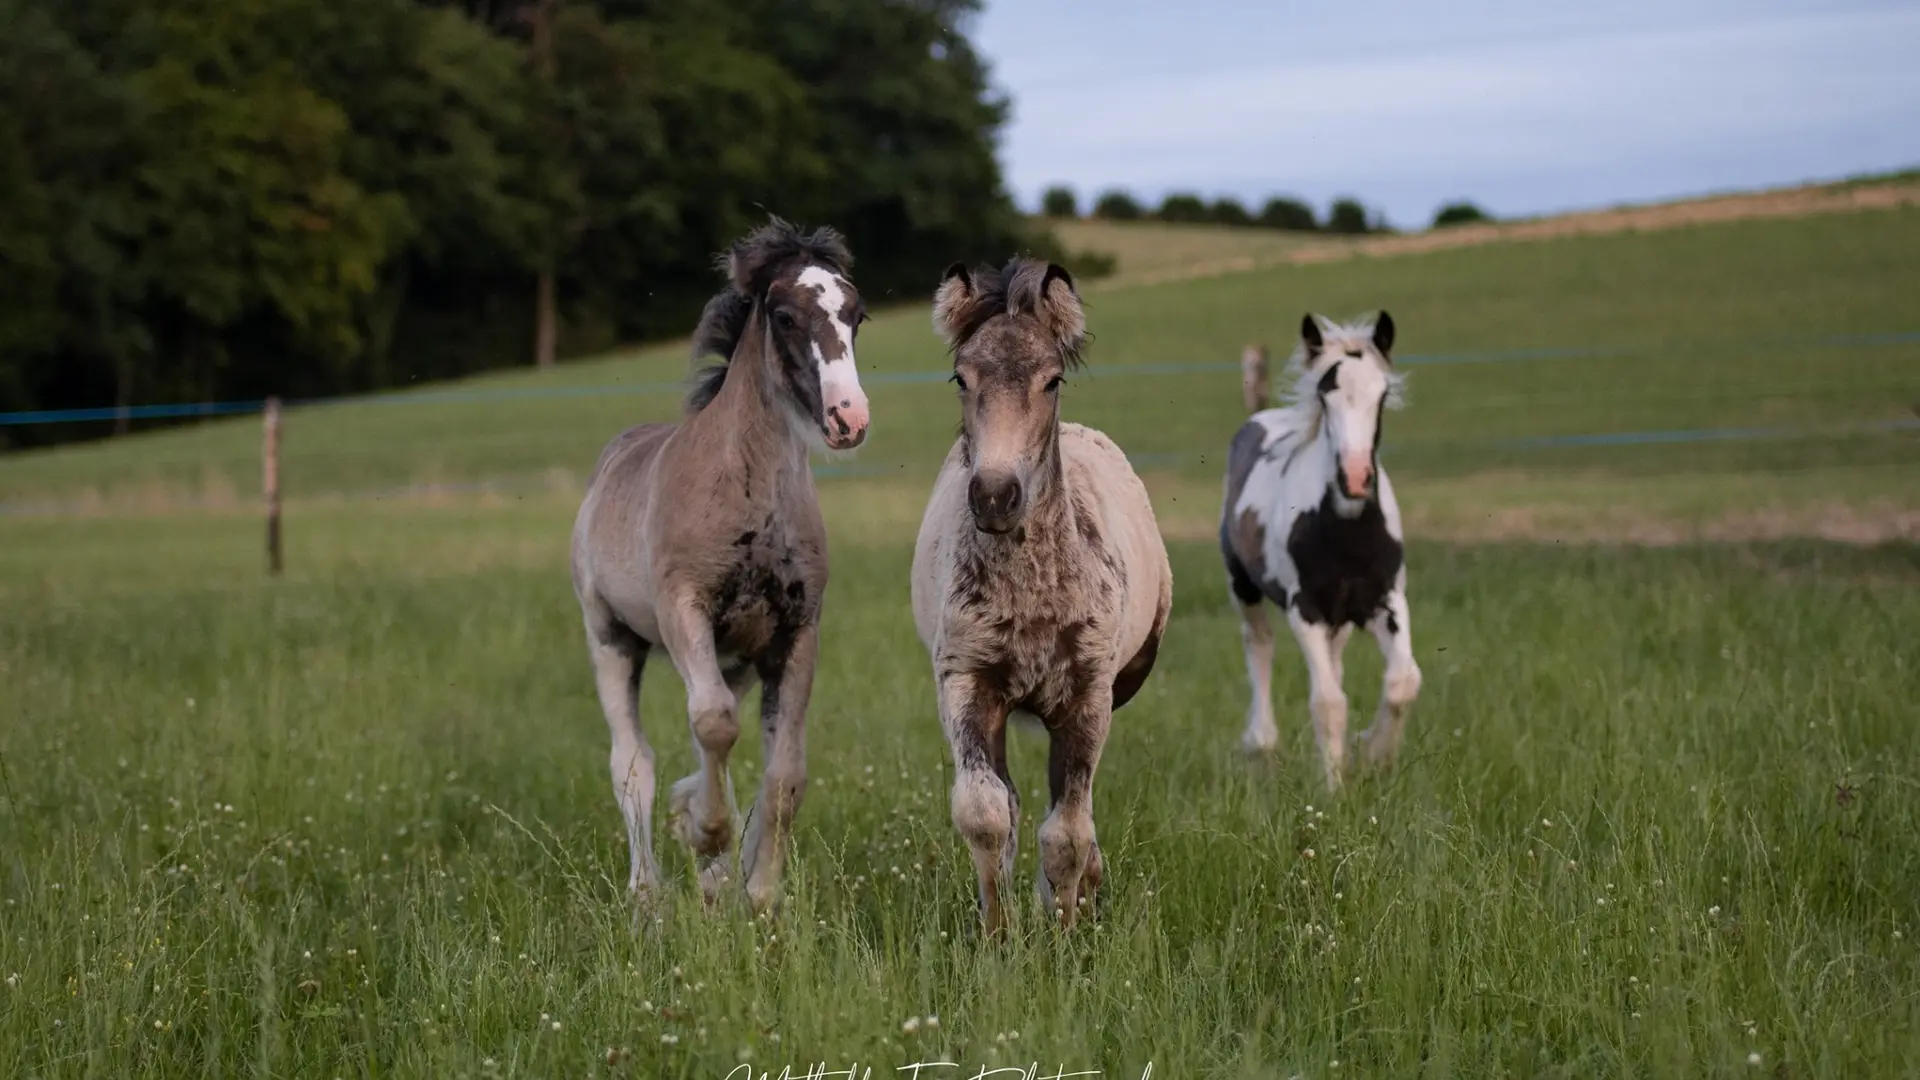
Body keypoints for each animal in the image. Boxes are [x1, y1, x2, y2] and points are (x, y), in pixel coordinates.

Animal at [570, 218, 871, 912]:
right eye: (784, 316)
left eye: (856, 314)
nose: (849, 418)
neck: (746, 490)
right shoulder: (685, 609)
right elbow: (711, 726)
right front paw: (705, 834)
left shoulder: (795, 633)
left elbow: (783, 775)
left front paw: (757, 891)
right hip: (611, 638)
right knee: (633, 761)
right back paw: (648, 893)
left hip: (732, 661)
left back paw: (715, 883)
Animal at [910, 258, 1172, 933]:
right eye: (961, 376)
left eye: (1052, 380)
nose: (995, 496)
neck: (1031, 596)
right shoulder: (967, 682)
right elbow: (986, 813)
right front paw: (997, 935)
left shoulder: (1087, 697)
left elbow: (1068, 833)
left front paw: (1066, 930)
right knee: (1009, 799)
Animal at [1217, 312, 1422, 792]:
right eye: (1326, 395)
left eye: (1382, 394)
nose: (1355, 477)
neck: (1346, 529)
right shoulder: (1305, 609)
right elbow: (1328, 701)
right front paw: (1333, 789)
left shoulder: (1386, 602)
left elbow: (1402, 681)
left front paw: (1372, 753)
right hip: (1243, 586)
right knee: (1259, 643)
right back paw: (1260, 740)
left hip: (1340, 618)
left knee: (1336, 662)